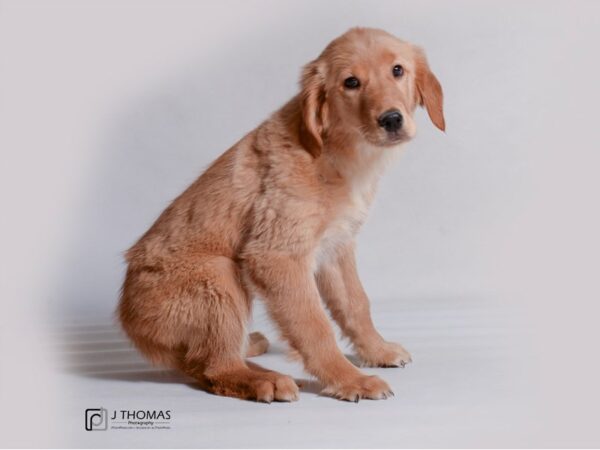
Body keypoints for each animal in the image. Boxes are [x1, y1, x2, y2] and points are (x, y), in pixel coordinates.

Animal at [118, 26, 446, 402]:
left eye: (397, 70)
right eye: (351, 82)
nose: (391, 119)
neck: (335, 150)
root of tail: (130, 324)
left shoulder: (336, 247)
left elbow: (355, 304)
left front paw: (377, 351)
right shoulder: (277, 256)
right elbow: (314, 325)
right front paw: (349, 378)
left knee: (200, 359)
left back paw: (254, 352)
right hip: (217, 275)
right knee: (215, 368)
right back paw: (266, 380)